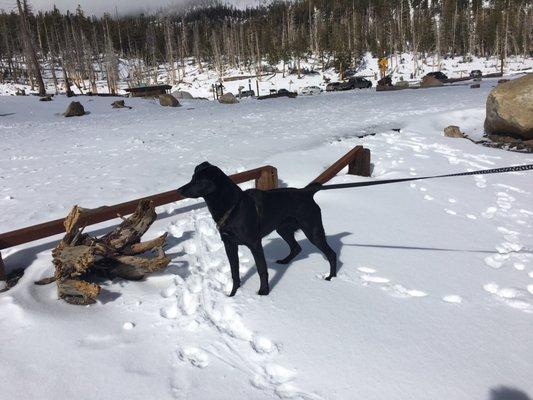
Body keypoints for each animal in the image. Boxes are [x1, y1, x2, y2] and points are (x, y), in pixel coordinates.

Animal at [177, 161, 334, 296]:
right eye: (192, 178)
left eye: (199, 181)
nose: (179, 190)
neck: (233, 207)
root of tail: (306, 192)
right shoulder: (229, 244)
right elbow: (234, 272)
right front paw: (233, 294)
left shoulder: (255, 244)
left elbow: (262, 270)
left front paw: (264, 292)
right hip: (283, 229)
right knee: (296, 248)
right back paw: (285, 262)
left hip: (313, 231)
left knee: (331, 254)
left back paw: (331, 277)